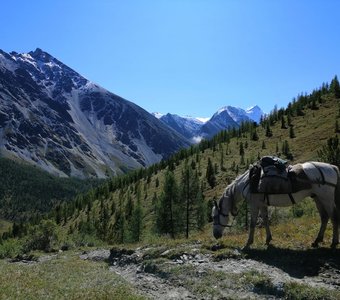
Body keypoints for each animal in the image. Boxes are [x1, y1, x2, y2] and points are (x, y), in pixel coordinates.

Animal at [211, 158, 340, 250]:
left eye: (214, 216)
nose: (215, 235)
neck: (249, 181)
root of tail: (332, 167)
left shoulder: (254, 204)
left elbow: (252, 224)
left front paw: (248, 244)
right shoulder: (262, 204)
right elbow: (265, 220)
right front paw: (268, 239)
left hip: (326, 198)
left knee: (333, 217)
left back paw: (333, 243)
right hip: (318, 198)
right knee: (324, 217)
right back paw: (317, 241)